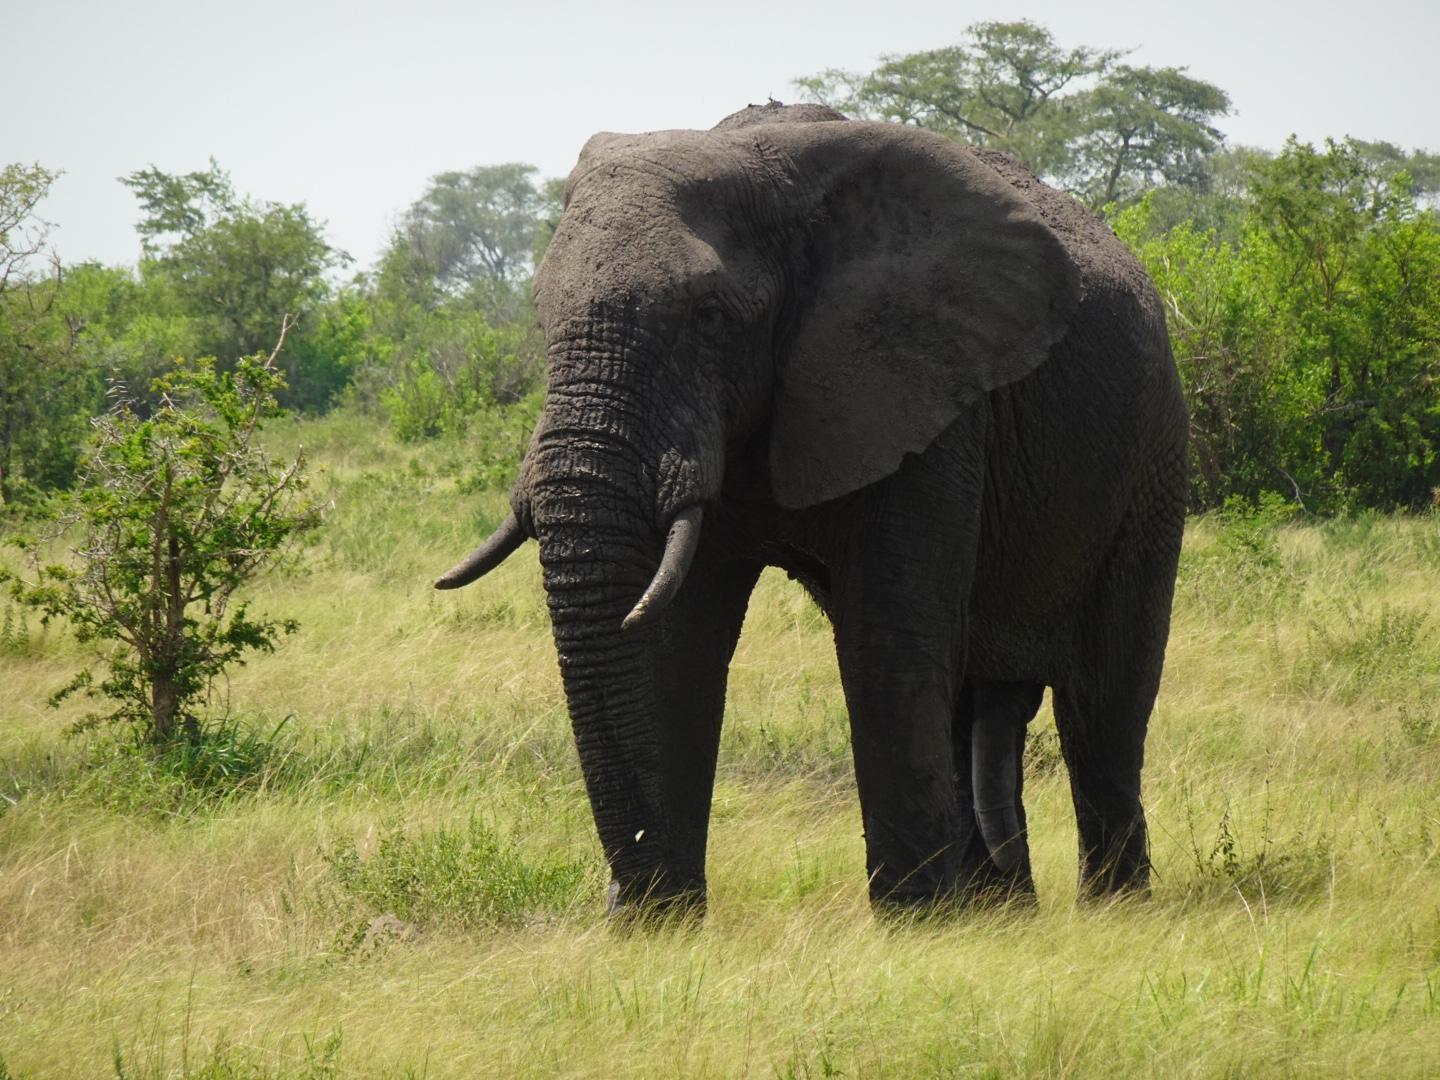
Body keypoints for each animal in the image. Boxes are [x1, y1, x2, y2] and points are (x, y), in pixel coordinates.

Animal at [435, 102, 1188, 915]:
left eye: (708, 316)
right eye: (541, 317)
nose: (630, 898)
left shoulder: (927, 389)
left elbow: (886, 638)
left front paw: (913, 922)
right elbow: (681, 643)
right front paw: (661, 925)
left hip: (1154, 452)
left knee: (1103, 700)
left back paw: (1110, 907)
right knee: (978, 700)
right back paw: (998, 910)